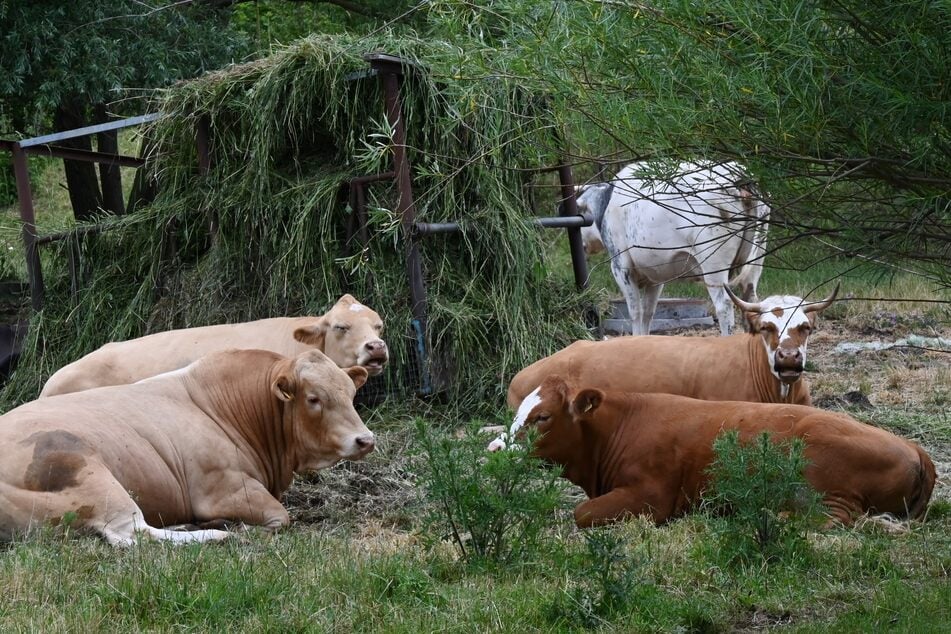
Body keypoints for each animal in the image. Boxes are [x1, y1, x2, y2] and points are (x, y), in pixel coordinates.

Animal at [0, 348, 374, 545]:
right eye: (313, 399)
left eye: (350, 394)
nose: (366, 439)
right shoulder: (225, 488)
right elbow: (280, 518)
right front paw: (240, 527)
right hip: (89, 472)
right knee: (134, 533)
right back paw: (217, 534)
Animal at [490, 375, 936, 528]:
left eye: (543, 417)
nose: (497, 450)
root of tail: (913, 445)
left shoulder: (651, 496)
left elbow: (581, 514)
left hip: (822, 480)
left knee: (835, 518)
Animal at [575, 161, 770, 335]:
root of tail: (738, 176)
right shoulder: (655, 275)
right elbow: (648, 312)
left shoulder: (621, 266)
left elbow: (635, 312)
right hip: (755, 260)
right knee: (750, 300)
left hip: (714, 265)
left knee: (724, 306)